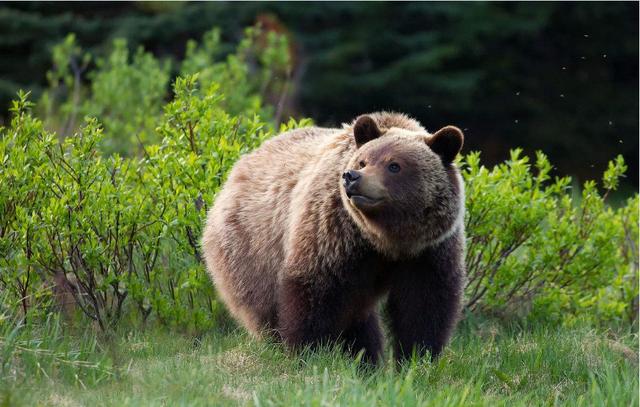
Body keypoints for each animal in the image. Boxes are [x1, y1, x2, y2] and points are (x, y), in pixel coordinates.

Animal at [201, 112, 465, 364]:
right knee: (266, 307)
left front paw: (417, 358)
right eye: (363, 160)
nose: (352, 176)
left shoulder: (429, 250)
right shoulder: (334, 232)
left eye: (394, 165)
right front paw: (308, 351)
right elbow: (316, 289)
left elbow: (423, 305)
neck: (386, 239)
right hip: (252, 250)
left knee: (359, 316)